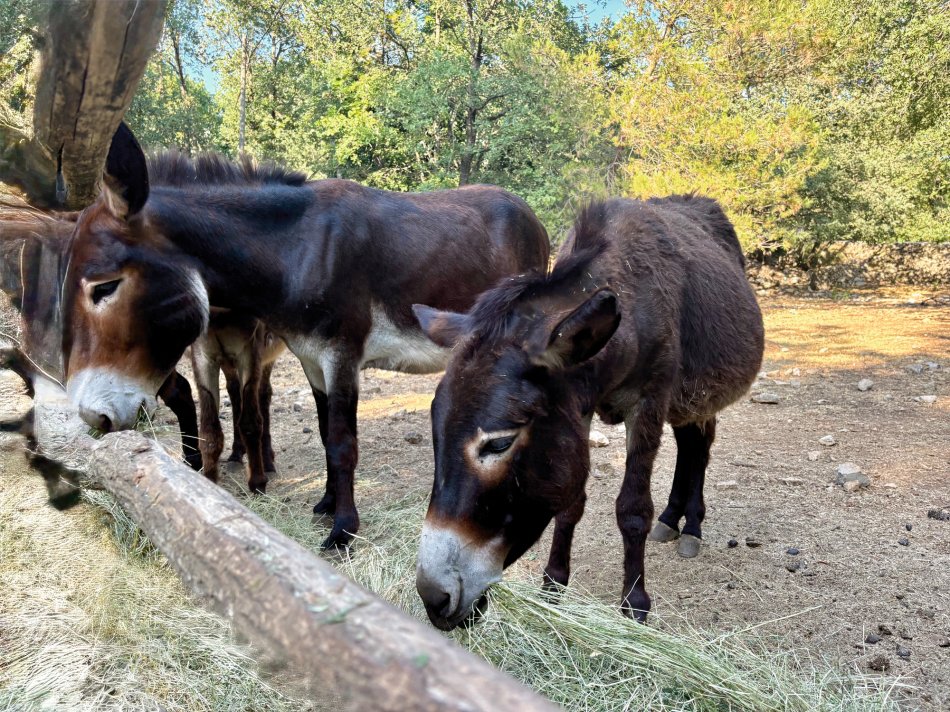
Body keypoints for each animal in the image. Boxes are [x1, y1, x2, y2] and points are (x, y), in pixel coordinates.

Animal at [61, 123, 550, 548]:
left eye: (104, 287)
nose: (91, 417)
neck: (299, 249)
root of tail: (531, 214)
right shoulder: (311, 359)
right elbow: (322, 432)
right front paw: (327, 504)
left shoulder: (342, 356)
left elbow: (343, 443)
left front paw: (343, 531)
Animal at [412, 196, 764, 630]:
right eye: (436, 432)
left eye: (499, 444)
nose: (434, 599)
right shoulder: (577, 412)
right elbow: (571, 503)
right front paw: (553, 585)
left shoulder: (647, 403)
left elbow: (632, 509)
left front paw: (634, 603)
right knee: (688, 445)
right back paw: (671, 519)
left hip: (700, 395)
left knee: (699, 448)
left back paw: (691, 526)